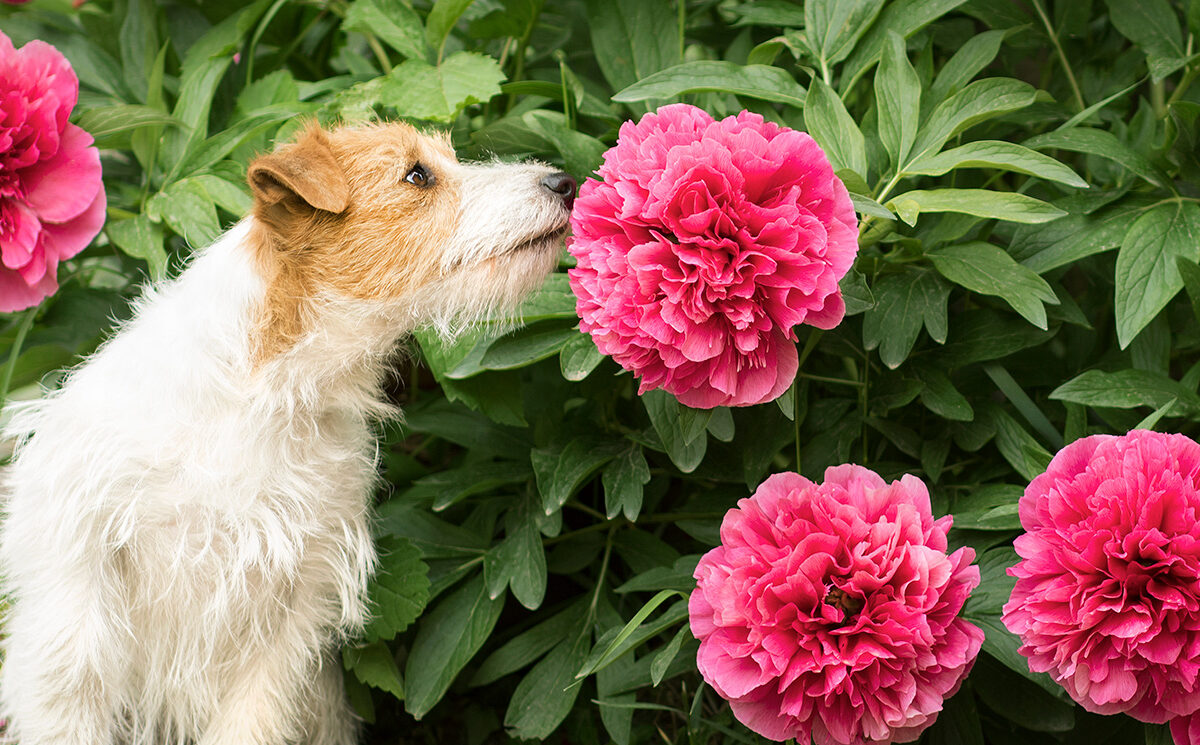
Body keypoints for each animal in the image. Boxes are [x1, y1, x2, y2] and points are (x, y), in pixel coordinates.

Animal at [0, 121, 576, 743]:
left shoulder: (289, 612)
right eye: (417, 175)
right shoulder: (75, 613)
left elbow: (250, 719)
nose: (564, 182)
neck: (266, 396)